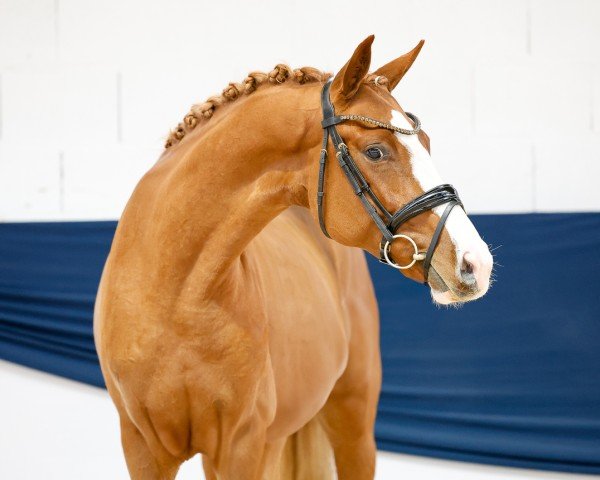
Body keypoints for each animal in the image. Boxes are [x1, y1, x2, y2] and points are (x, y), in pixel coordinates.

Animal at [95, 35, 492, 478]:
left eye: (426, 144)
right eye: (375, 151)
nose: (476, 262)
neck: (176, 294)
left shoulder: (241, 446)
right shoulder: (143, 449)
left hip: (352, 422)